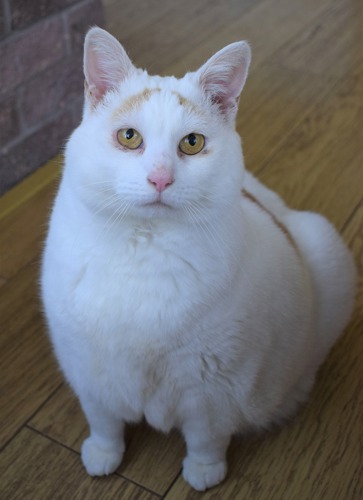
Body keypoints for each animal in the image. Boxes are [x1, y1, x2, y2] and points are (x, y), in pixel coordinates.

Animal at [41, 25, 356, 490]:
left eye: (192, 143)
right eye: (129, 137)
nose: (160, 178)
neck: (144, 249)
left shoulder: (214, 391)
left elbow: (207, 436)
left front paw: (204, 472)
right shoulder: (88, 369)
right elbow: (103, 421)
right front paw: (103, 454)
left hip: (328, 249)